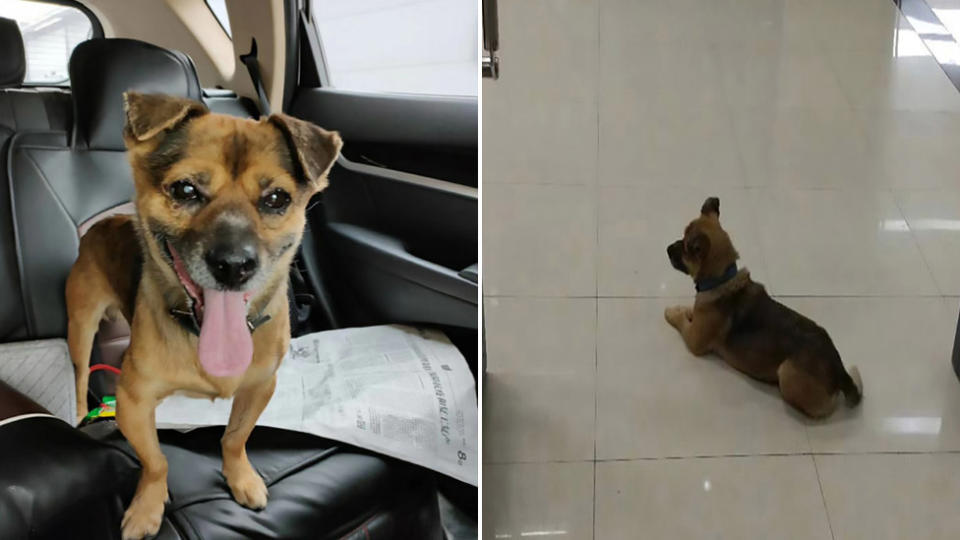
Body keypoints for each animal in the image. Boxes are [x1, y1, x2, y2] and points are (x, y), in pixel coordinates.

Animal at [63, 90, 344, 536]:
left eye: (277, 199)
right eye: (184, 189)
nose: (234, 265)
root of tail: (105, 223)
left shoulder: (259, 387)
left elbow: (234, 438)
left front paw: (241, 477)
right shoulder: (132, 401)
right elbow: (156, 461)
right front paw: (147, 508)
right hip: (81, 324)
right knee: (77, 372)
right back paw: (76, 411)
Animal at [668, 197, 864, 418]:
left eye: (686, 247)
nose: (667, 248)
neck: (722, 279)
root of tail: (840, 372)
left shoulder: (694, 341)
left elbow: (680, 321)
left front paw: (672, 312)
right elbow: (691, 310)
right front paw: (685, 309)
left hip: (787, 373)